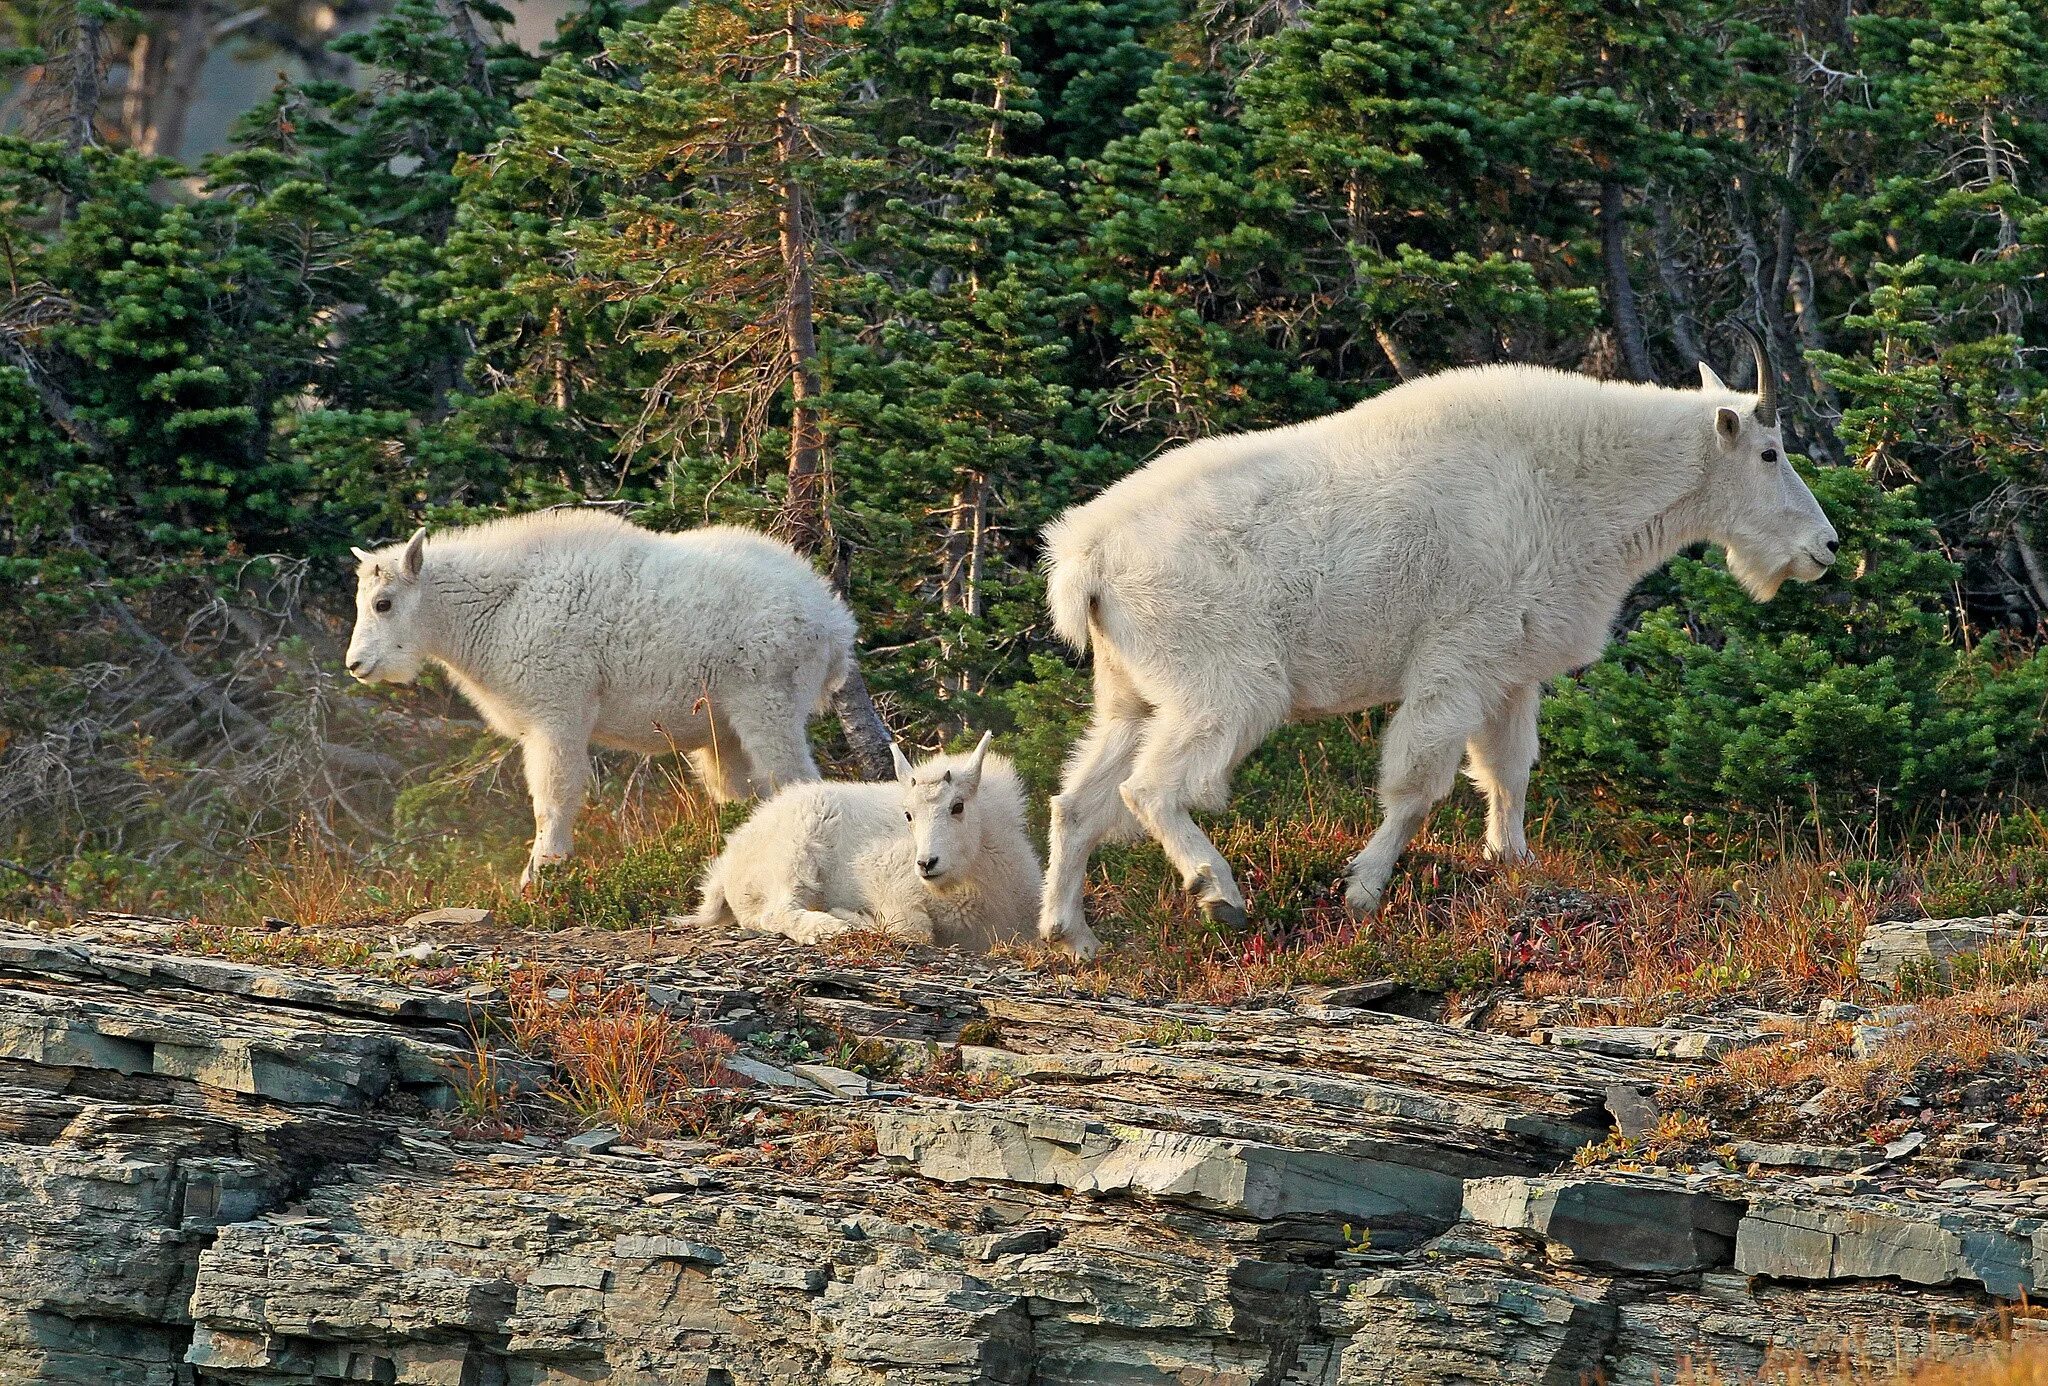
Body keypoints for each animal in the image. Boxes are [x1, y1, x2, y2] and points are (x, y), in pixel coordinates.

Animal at [348, 507, 860, 888]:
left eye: (383, 603)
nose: (355, 664)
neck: (497, 606)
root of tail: (834, 624)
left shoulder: (557, 711)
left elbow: (552, 797)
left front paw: (540, 877)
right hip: (723, 730)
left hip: (768, 700)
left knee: (795, 778)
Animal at [1040, 325, 1843, 958]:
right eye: (1770, 453)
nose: (1827, 547)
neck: (1574, 484)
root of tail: (1087, 554)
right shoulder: (1457, 663)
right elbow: (1416, 786)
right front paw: (1363, 891)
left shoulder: (1513, 672)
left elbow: (1509, 770)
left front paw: (1514, 862)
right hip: (1228, 686)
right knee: (1151, 788)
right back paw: (1218, 894)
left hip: (1130, 693)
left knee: (1077, 800)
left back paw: (1068, 934)